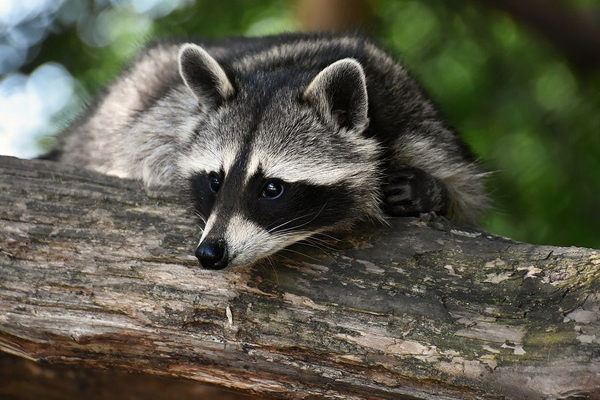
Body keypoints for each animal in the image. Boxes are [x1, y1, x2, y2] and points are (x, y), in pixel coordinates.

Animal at [47, 32, 488, 268]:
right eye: (215, 180)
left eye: (272, 188)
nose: (210, 253)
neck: (295, 70)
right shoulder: (162, 119)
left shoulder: (419, 122)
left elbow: (465, 192)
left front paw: (431, 191)